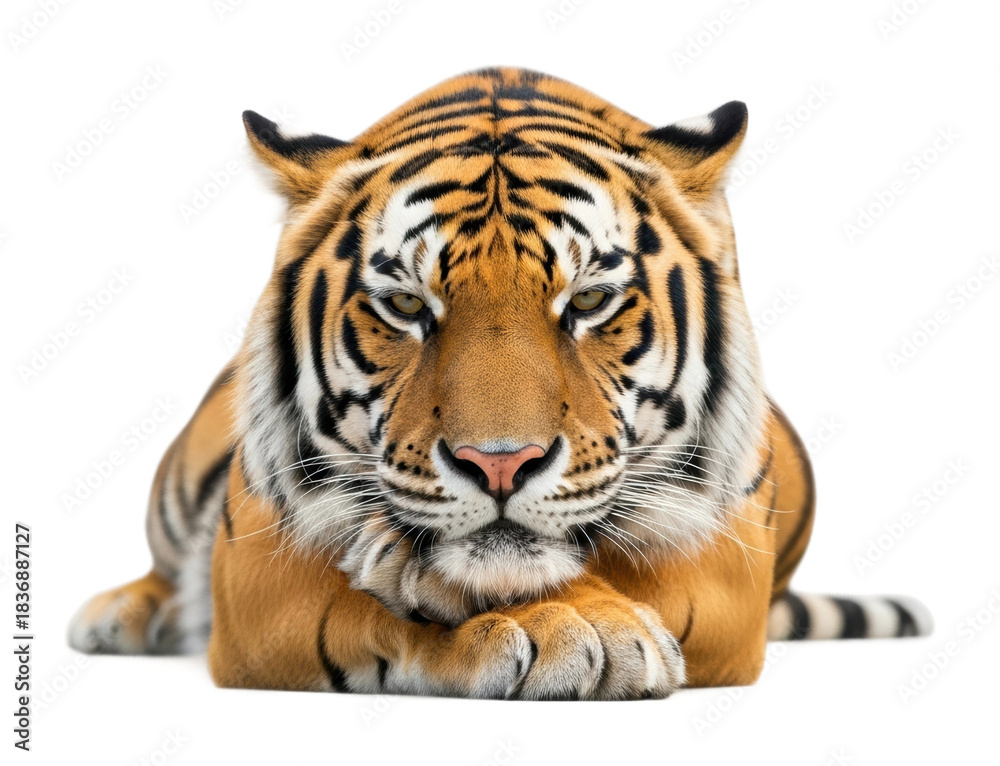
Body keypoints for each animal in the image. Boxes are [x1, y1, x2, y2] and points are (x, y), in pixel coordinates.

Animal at [68, 67, 932, 700]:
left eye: (588, 301)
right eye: (406, 306)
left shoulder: (726, 561)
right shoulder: (257, 570)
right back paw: (120, 615)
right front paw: (572, 627)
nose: (500, 465)